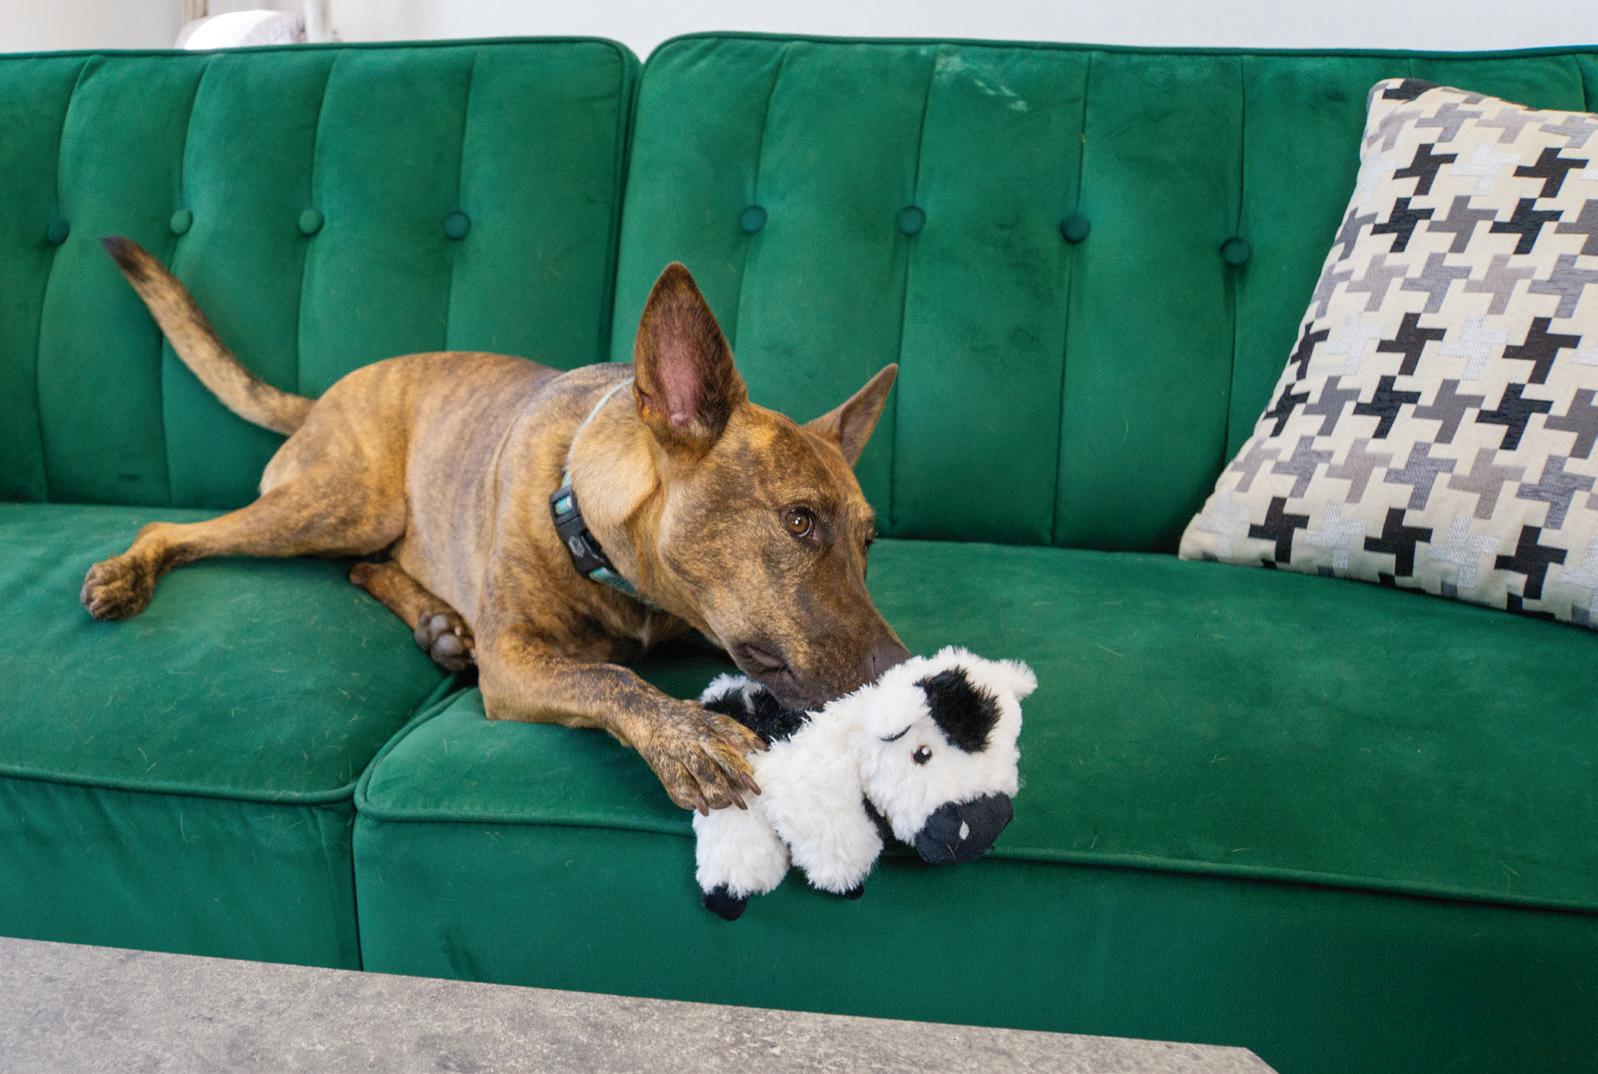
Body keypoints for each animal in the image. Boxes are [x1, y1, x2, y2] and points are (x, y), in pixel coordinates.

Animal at [83, 238, 909, 813]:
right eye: (798, 521)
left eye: (869, 541)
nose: (903, 679)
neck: (587, 515)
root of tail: (323, 398)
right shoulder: (513, 660)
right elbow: (609, 677)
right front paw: (689, 737)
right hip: (342, 502)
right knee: (176, 529)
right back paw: (125, 573)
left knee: (365, 566)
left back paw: (442, 627)